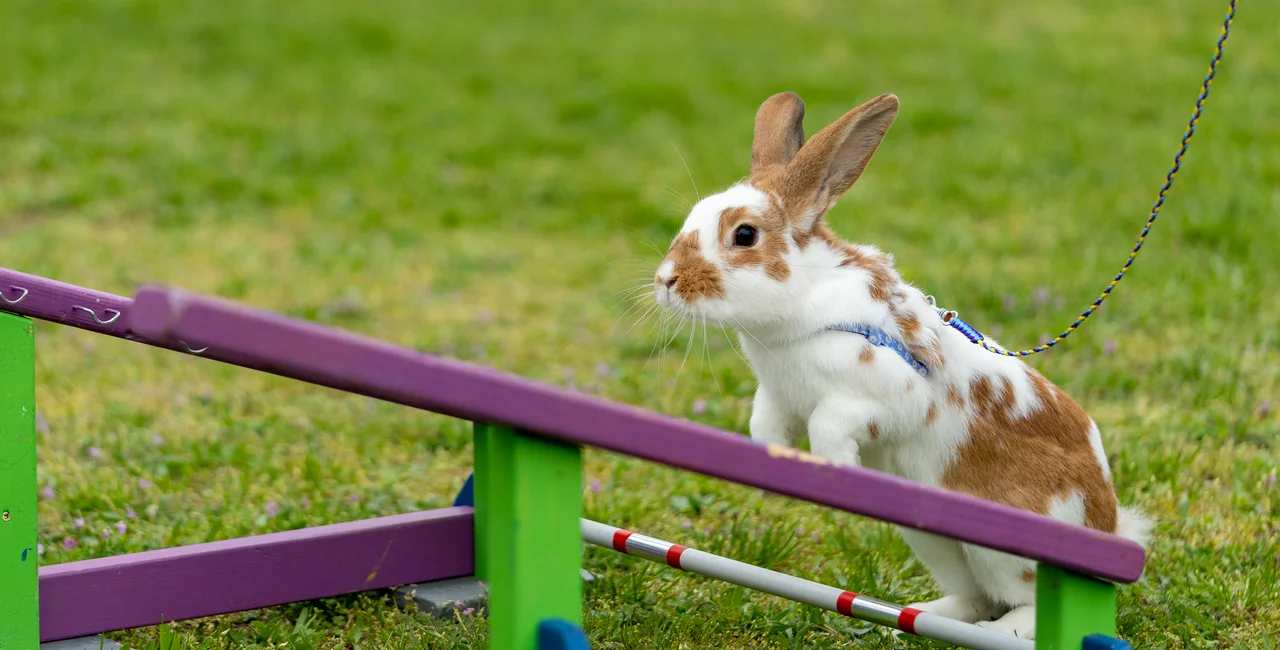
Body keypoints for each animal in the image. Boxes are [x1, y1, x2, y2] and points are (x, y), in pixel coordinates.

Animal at [650, 91, 1152, 639]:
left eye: (744, 235)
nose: (666, 280)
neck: (801, 307)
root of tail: (1109, 524)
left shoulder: (885, 397)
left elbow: (829, 425)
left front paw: (838, 472)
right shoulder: (778, 397)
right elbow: (763, 427)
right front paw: (772, 474)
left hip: (1001, 550)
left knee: (1025, 602)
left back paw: (999, 633)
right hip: (933, 540)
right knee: (976, 597)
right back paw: (915, 618)